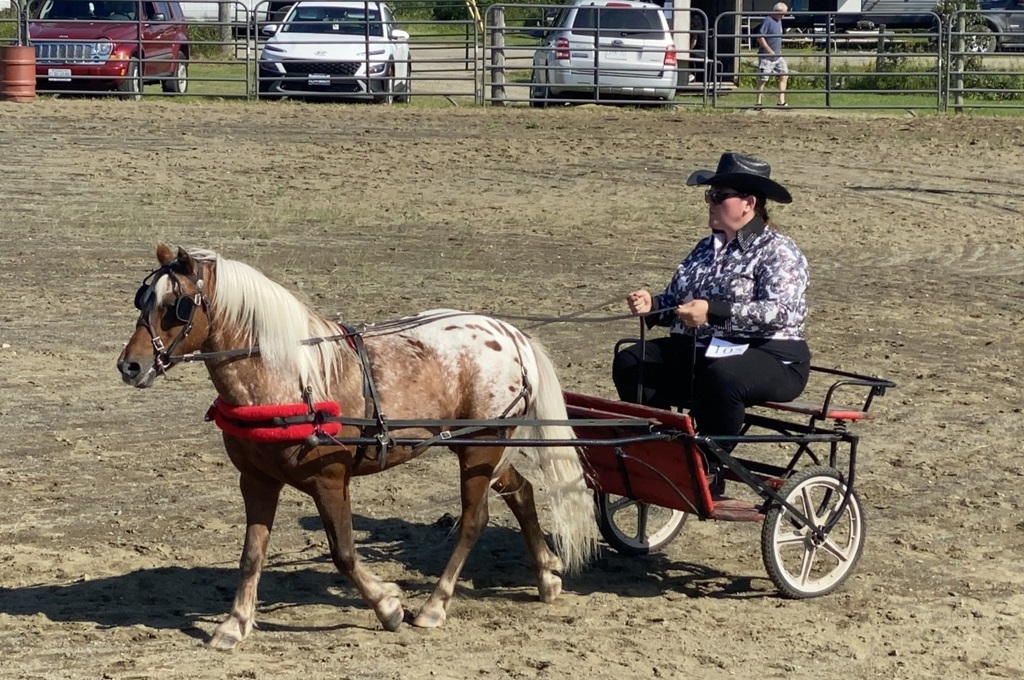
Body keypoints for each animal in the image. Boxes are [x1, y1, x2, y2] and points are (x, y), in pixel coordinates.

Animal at [116, 244, 599, 650]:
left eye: (176, 307)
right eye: (143, 300)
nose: (129, 365)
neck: (289, 379)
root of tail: (511, 333)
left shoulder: (330, 480)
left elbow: (344, 553)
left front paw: (388, 605)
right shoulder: (256, 481)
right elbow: (252, 555)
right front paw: (234, 624)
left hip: (480, 449)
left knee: (473, 521)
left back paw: (435, 605)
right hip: (482, 448)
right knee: (521, 492)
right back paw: (547, 577)